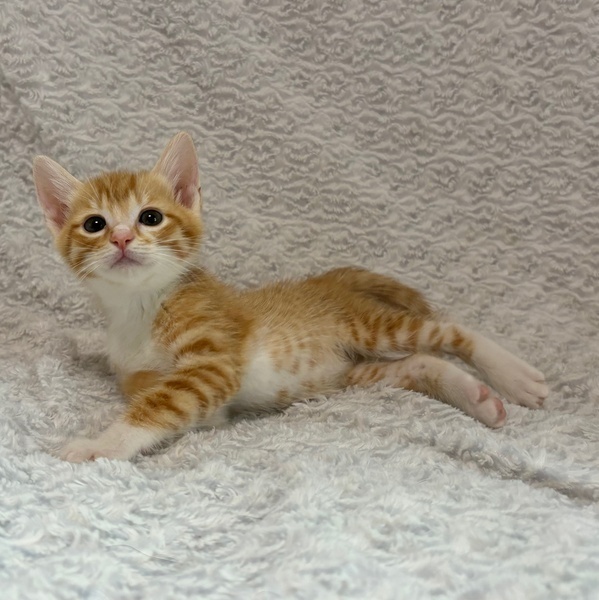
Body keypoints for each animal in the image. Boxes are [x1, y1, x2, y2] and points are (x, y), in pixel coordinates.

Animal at [33, 132, 549, 462]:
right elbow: (166, 398)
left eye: (151, 217)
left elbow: (160, 404)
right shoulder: (151, 377)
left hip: (372, 326)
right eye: (94, 224)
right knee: (419, 362)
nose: (121, 238)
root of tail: (331, 278)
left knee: (449, 330)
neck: (140, 306)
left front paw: (100, 446)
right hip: (353, 373)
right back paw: (476, 396)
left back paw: (514, 376)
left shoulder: (213, 359)